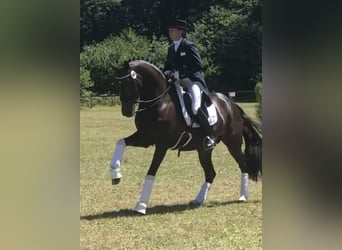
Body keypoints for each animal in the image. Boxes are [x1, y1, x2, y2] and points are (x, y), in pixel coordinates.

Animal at [109, 59, 262, 215]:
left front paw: (141, 205)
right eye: (117, 83)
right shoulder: (145, 138)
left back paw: (243, 196)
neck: (160, 103)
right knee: (211, 173)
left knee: (243, 165)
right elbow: (120, 142)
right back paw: (198, 200)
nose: (126, 111)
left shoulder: (161, 145)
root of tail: (232, 105)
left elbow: (151, 172)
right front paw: (116, 175)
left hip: (232, 143)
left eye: (128, 82)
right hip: (203, 150)